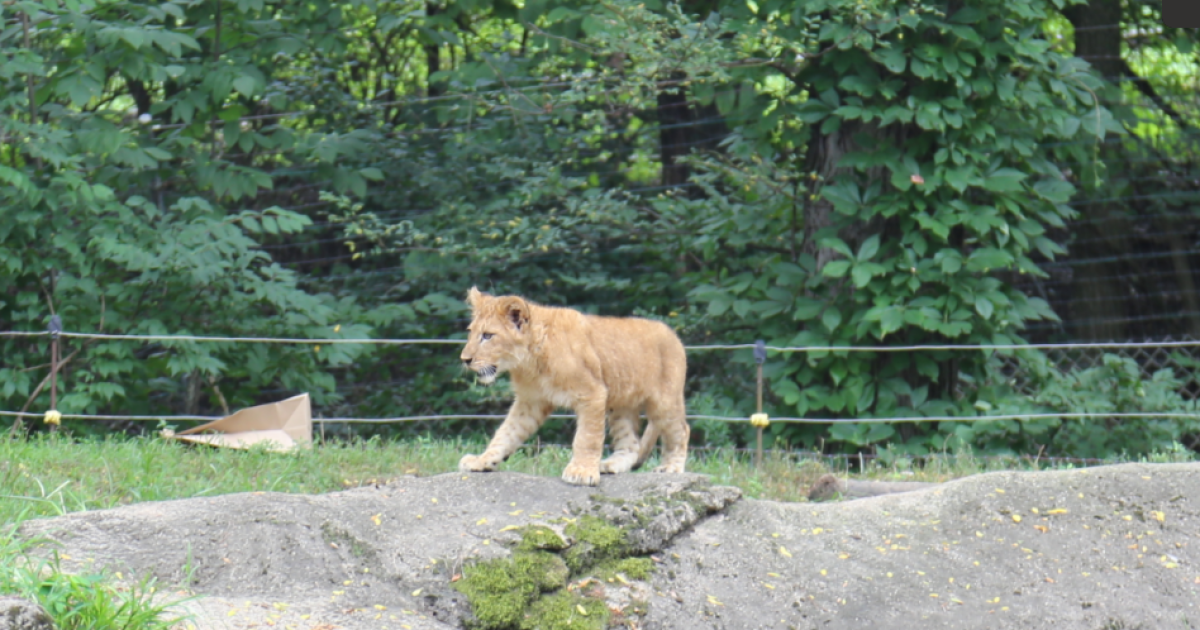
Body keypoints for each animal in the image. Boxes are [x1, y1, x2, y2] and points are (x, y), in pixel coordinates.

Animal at [457, 286, 690, 486]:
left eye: (488, 336)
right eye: (471, 332)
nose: (465, 359)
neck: (530, 361)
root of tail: (672, 333)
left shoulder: (593, 393)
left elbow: (587, 437)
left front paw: (582, 472)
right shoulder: (531, 401)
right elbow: (506, 433)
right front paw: (482, 460)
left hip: (664, 402)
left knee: (681, 430)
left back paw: (671, 467)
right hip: (622, 404)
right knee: (630, 444)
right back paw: (610, 465)